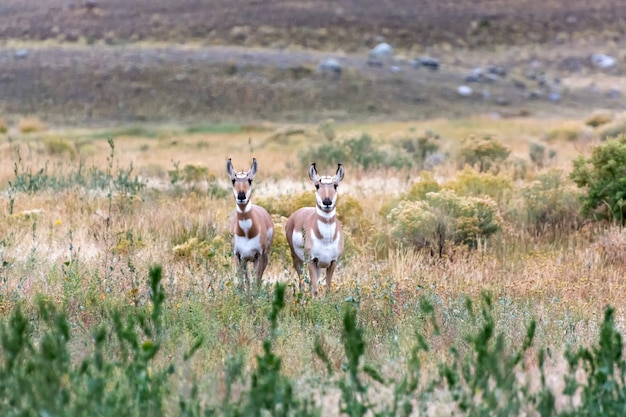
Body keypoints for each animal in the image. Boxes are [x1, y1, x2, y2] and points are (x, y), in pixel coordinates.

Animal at [225, 158, 272, 288]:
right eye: (233, 180)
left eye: (250, 180)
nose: (241, 195)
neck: (246, 232)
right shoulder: (238, 256)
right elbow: (242, 282)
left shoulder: (258, 256)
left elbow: (256, 281)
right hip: (245, 260)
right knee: (247, 279)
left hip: (265, 256)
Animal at [286, 162, 344, 296]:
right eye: (317, 185)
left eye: (335, 185)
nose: (327, 201)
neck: (326, 239)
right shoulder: (312, 261)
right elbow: (315, 290)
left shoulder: (332, 262)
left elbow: (327, 289)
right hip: (298, 260)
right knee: (301, 282)